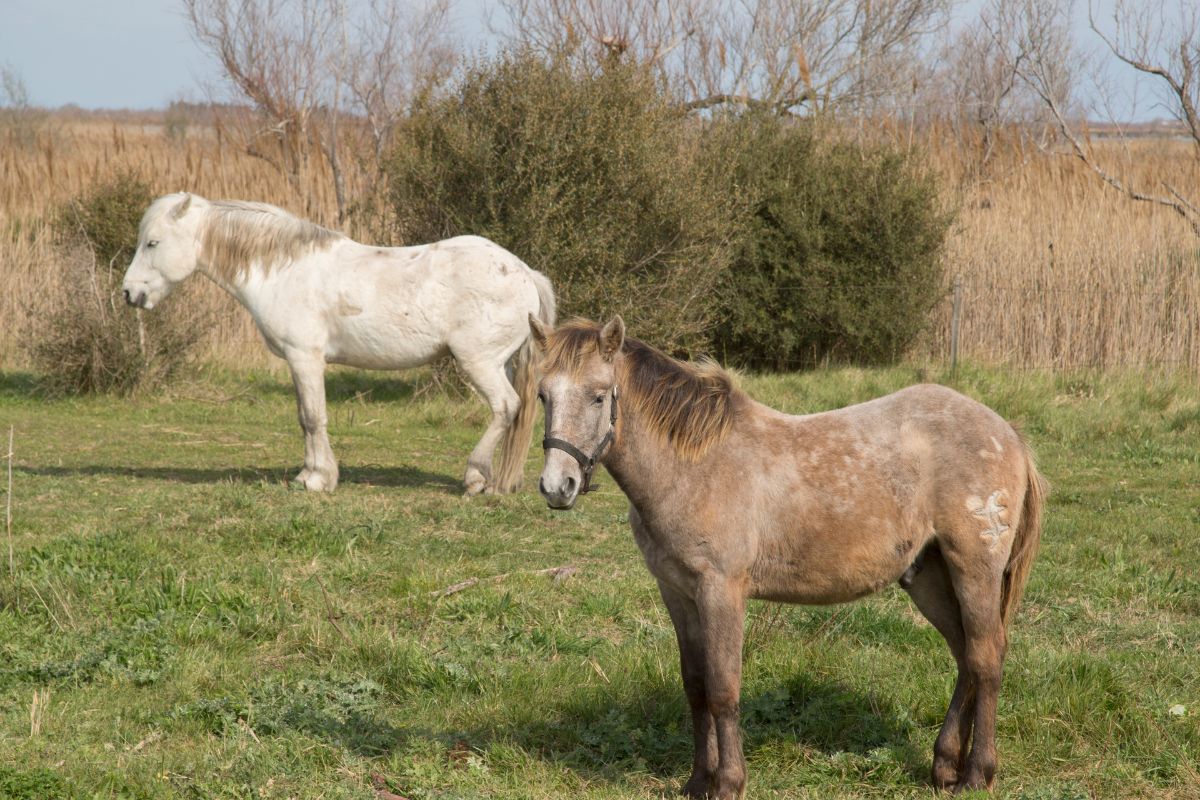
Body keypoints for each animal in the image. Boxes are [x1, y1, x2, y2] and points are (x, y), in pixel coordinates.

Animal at [120, 194, 552, 494]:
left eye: (152, 243)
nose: (129, 293)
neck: (284, 270)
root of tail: (524, 272)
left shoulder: (304, 358)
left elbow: (313, 418)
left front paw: (317, 479)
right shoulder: (299, 362)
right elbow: (304, 417)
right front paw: (310, 474)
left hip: (479, 363)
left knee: (505, 407)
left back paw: (476, 478)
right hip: (500, 363)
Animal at [530, 316, 1046, 800]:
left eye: (599, 397)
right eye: (542, 396)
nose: (558, 487)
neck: (693, 466)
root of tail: (1008, 433)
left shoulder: (721, 591)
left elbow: (723, 689)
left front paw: (728, 782)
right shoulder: (677, 592)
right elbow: (695, 686)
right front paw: (697, 781)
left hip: (974, 569)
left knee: (985, 658)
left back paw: (976, 775)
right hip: (929, 577)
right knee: (965, 656)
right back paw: (944, 766)